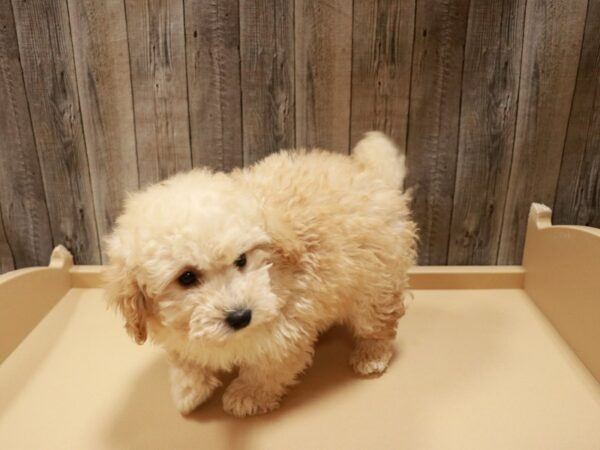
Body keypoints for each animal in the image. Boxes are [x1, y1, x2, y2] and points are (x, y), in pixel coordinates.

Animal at [105, 132, 414, 416]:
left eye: (241, 259)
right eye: (187, 277)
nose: (241, 316)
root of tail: (371, 174)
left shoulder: (287, 326)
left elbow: (269, 366)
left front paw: (247, 394)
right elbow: (184, 359)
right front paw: (188, 391)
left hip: (375, 283)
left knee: (380, 322)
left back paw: (371, 354)